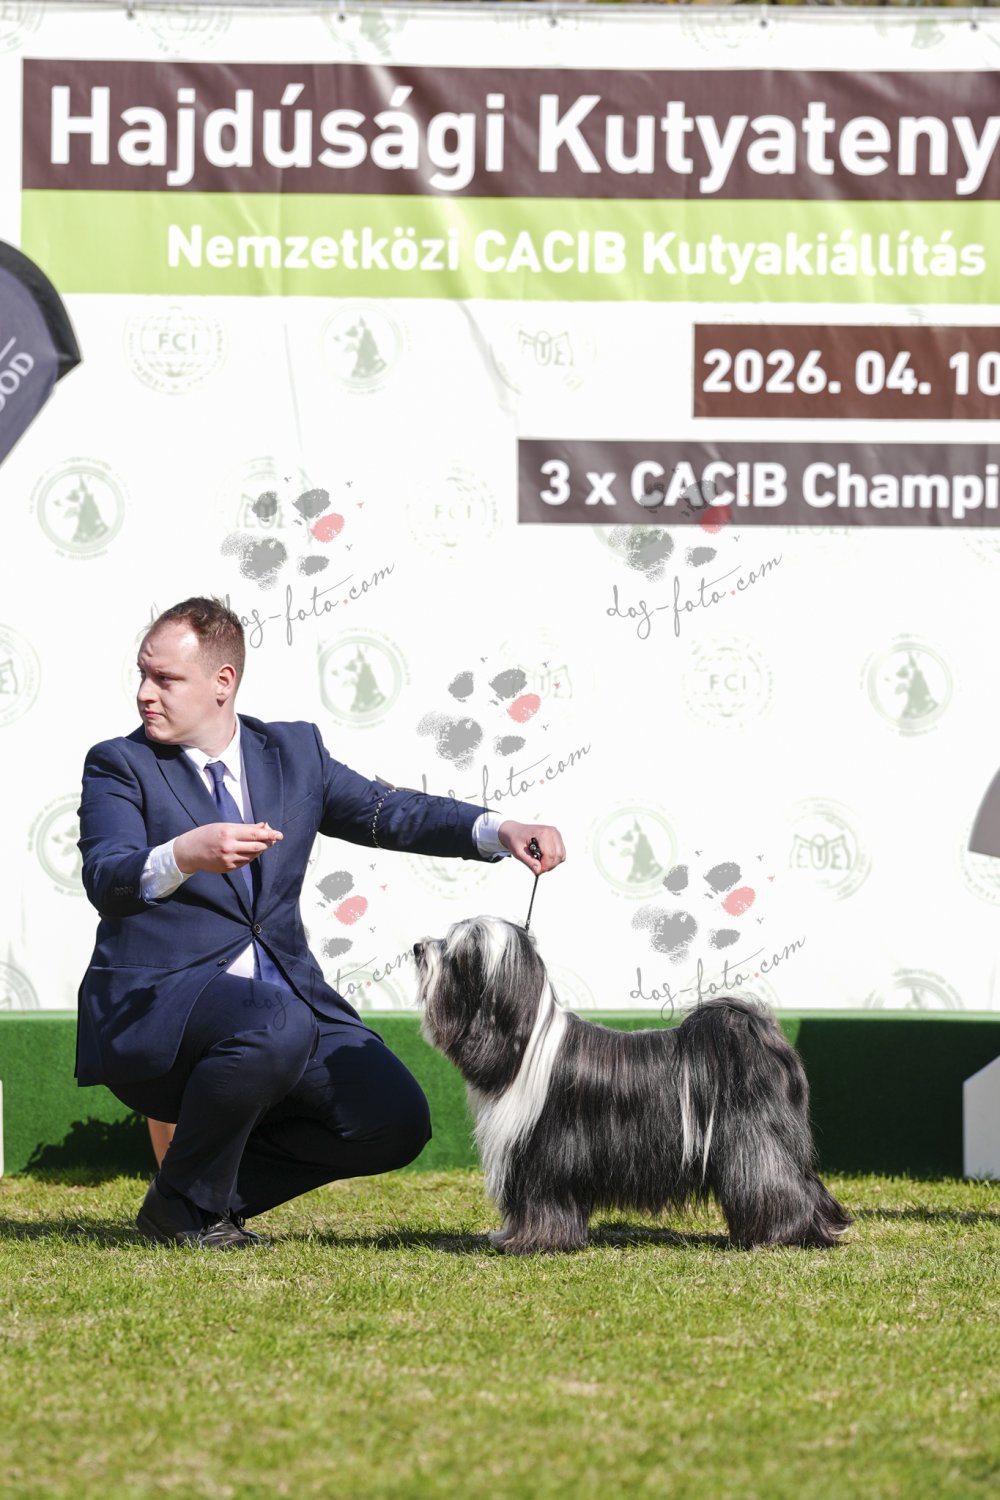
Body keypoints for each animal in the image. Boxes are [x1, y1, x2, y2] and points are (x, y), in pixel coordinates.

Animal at [413, 915, 851, 1255]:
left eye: (457, 953)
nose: (418, 947)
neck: (524, 1045)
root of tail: (757, 1032)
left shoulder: (546, 1156)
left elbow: (543, 1203)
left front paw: (533, 1242)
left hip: (755, 1142)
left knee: (776, 1184)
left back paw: (782, 1236)